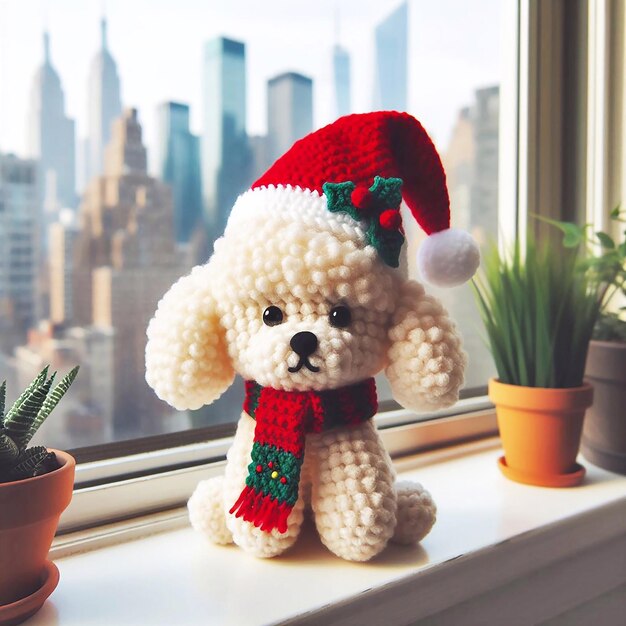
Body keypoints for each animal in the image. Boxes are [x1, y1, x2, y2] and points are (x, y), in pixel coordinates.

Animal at [145, 113, 478, 560]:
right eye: (270, 314)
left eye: (341, 315)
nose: (303, 340)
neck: (307, 412)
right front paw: (261, 538)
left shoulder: (352, 451)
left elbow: (359, 507)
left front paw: (354, 536)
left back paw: (409, 507)